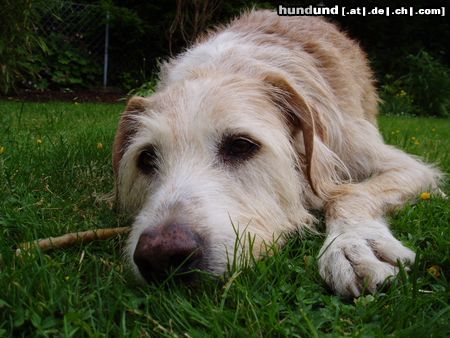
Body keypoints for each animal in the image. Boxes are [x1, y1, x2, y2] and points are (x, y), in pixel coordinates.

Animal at [111, 9, 442, 298]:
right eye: (146, 159)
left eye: (240, 145)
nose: (161, 256)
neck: (223, 68)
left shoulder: (403, 165)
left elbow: (348, 193)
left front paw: (352, 243)